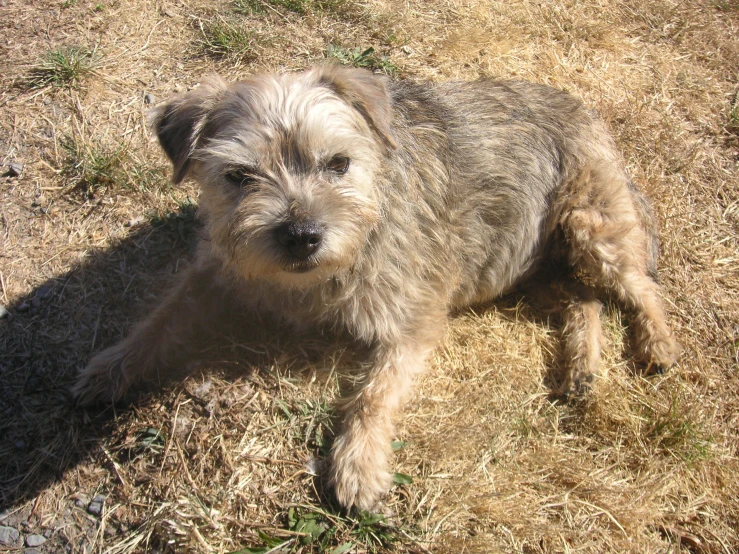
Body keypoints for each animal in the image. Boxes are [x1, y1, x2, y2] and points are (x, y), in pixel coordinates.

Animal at [75, 64, 684, 508]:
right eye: (239, 176)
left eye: (338, 163)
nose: (301, 236)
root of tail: (586, 113)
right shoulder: (218, 272)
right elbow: (161, 318)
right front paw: (113, 366)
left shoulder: (413, 318)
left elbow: (373, 392)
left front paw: (358, 465)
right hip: (536, 268)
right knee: (583, 299)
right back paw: (582, 367)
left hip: (590, 225)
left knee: (639, 287)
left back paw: (657, 343)